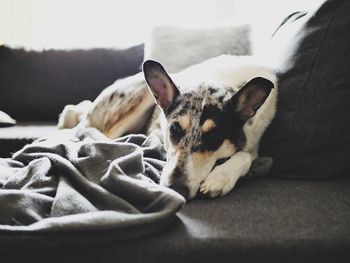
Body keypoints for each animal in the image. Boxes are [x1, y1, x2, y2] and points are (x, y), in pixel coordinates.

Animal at [60, 55, 278, 200]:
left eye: (214, 136)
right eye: (174, 129)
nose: (176, 189)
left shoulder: (252, 145)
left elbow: (245, 155)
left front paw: (220, 178)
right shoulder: (157, 130)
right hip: (141, 94)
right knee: (95, 130)